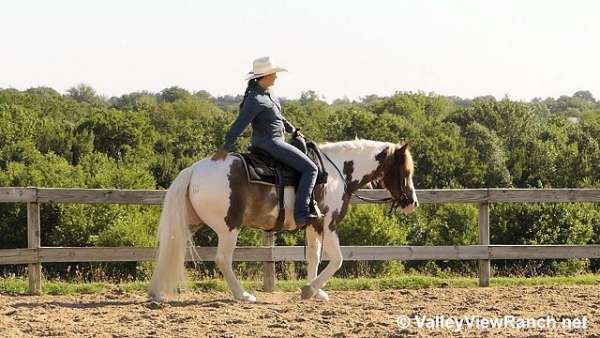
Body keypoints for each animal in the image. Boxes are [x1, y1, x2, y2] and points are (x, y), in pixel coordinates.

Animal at [146, 139, 418, 302]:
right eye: (405, 171)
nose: (412, 202)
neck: (335, 174)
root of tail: (193, 170)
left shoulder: (314, 225)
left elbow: (313, 258)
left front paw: (316, 291)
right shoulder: (328, 224)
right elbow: (338, 259)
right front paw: (309, 290)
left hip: (189, 224)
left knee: (170, 249)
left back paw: (157, 292)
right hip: (228, 228)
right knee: (223, 260)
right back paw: (243, 295)